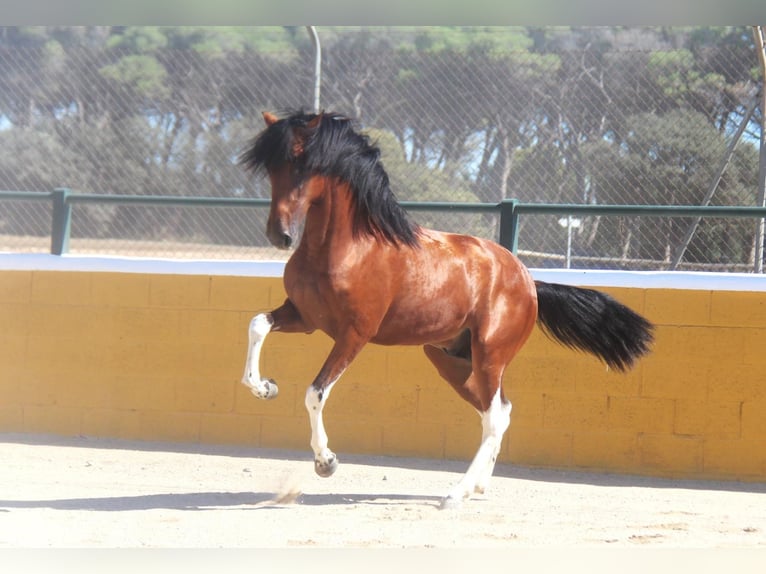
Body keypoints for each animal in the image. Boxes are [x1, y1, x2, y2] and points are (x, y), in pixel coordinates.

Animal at [240, 110, 656, 510]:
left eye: (301, 163)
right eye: (271, 168)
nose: (280, 235)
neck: (347, 248)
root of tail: (528, 281)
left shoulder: (353, 335)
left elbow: (316, 392)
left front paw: (326, 462)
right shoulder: (304, 317)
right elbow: (258, 323)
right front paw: (265, 387)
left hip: (489, 356)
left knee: (493, 418)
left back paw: (455, 494)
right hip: (452, 361)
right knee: (499, 411)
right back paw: (478, 487)